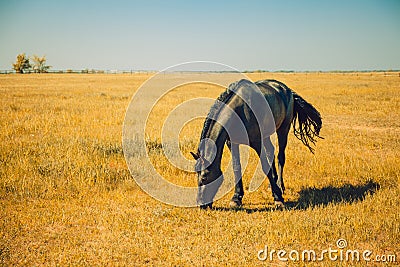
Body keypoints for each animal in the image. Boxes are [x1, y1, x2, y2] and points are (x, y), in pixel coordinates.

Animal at [190, 79, 322, 209]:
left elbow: (264, 166)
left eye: (204, 177)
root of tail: (287, 90)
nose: (201, 204)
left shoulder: (257, 142)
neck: (239, 111)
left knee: (280, 157)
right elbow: (236, 167)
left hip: (283, 129)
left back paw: (280, 186)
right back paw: (273, 183)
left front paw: (278, 198)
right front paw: (236, 198)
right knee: (271, 152)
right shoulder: (232, 143)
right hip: (267, 134)